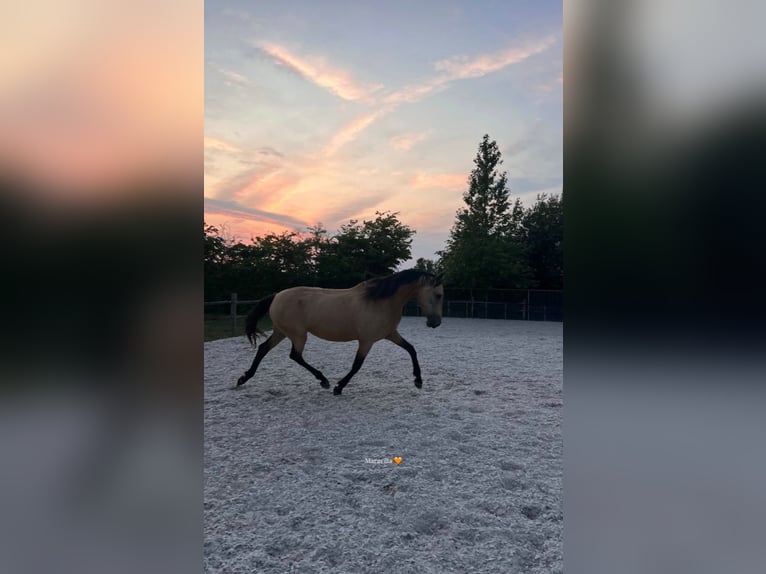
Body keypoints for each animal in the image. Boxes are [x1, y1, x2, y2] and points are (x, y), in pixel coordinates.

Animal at [235, 269, 444, 395]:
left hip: (281, 332)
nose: (436, 323)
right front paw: (338, 387)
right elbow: (356, 366)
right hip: (297, 334)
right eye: (439, 294)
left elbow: (411, 349)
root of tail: (277, 295)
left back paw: (243, 378)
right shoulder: (366, 341)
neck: (380, 301)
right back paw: (324, 380)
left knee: (263, 349)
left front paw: (418, 381)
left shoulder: (390, 334)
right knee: (295, 355)